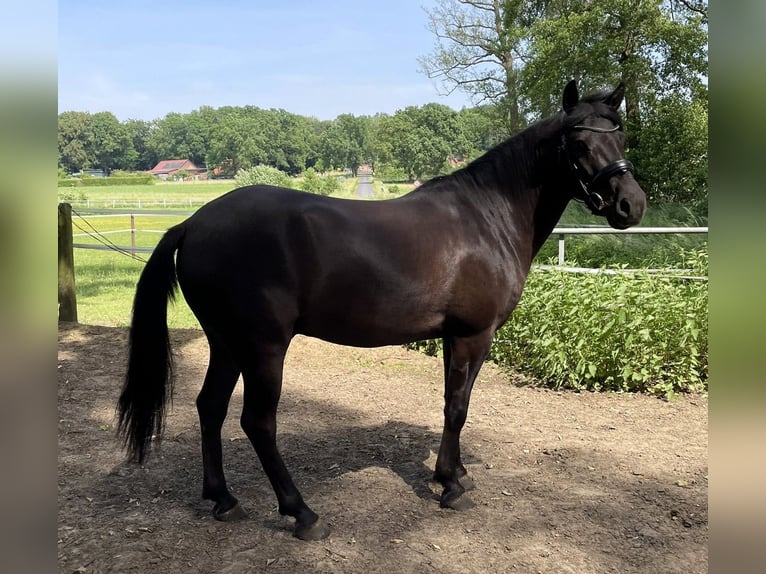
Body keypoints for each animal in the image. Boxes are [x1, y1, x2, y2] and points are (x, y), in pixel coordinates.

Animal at [117, 80, 646, 540]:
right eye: (578, 142)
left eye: (619, 134)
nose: (631, 205)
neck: (486, 217)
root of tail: (194, 223)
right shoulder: (472, 334)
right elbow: (457, 407)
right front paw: (451, 487)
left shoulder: (457, 336)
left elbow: (456, 402)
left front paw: (457, 474)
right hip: (263, 347)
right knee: (258, 423)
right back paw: (302, 513)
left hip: (226, 343)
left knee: (210, 407)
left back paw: (223, 499)